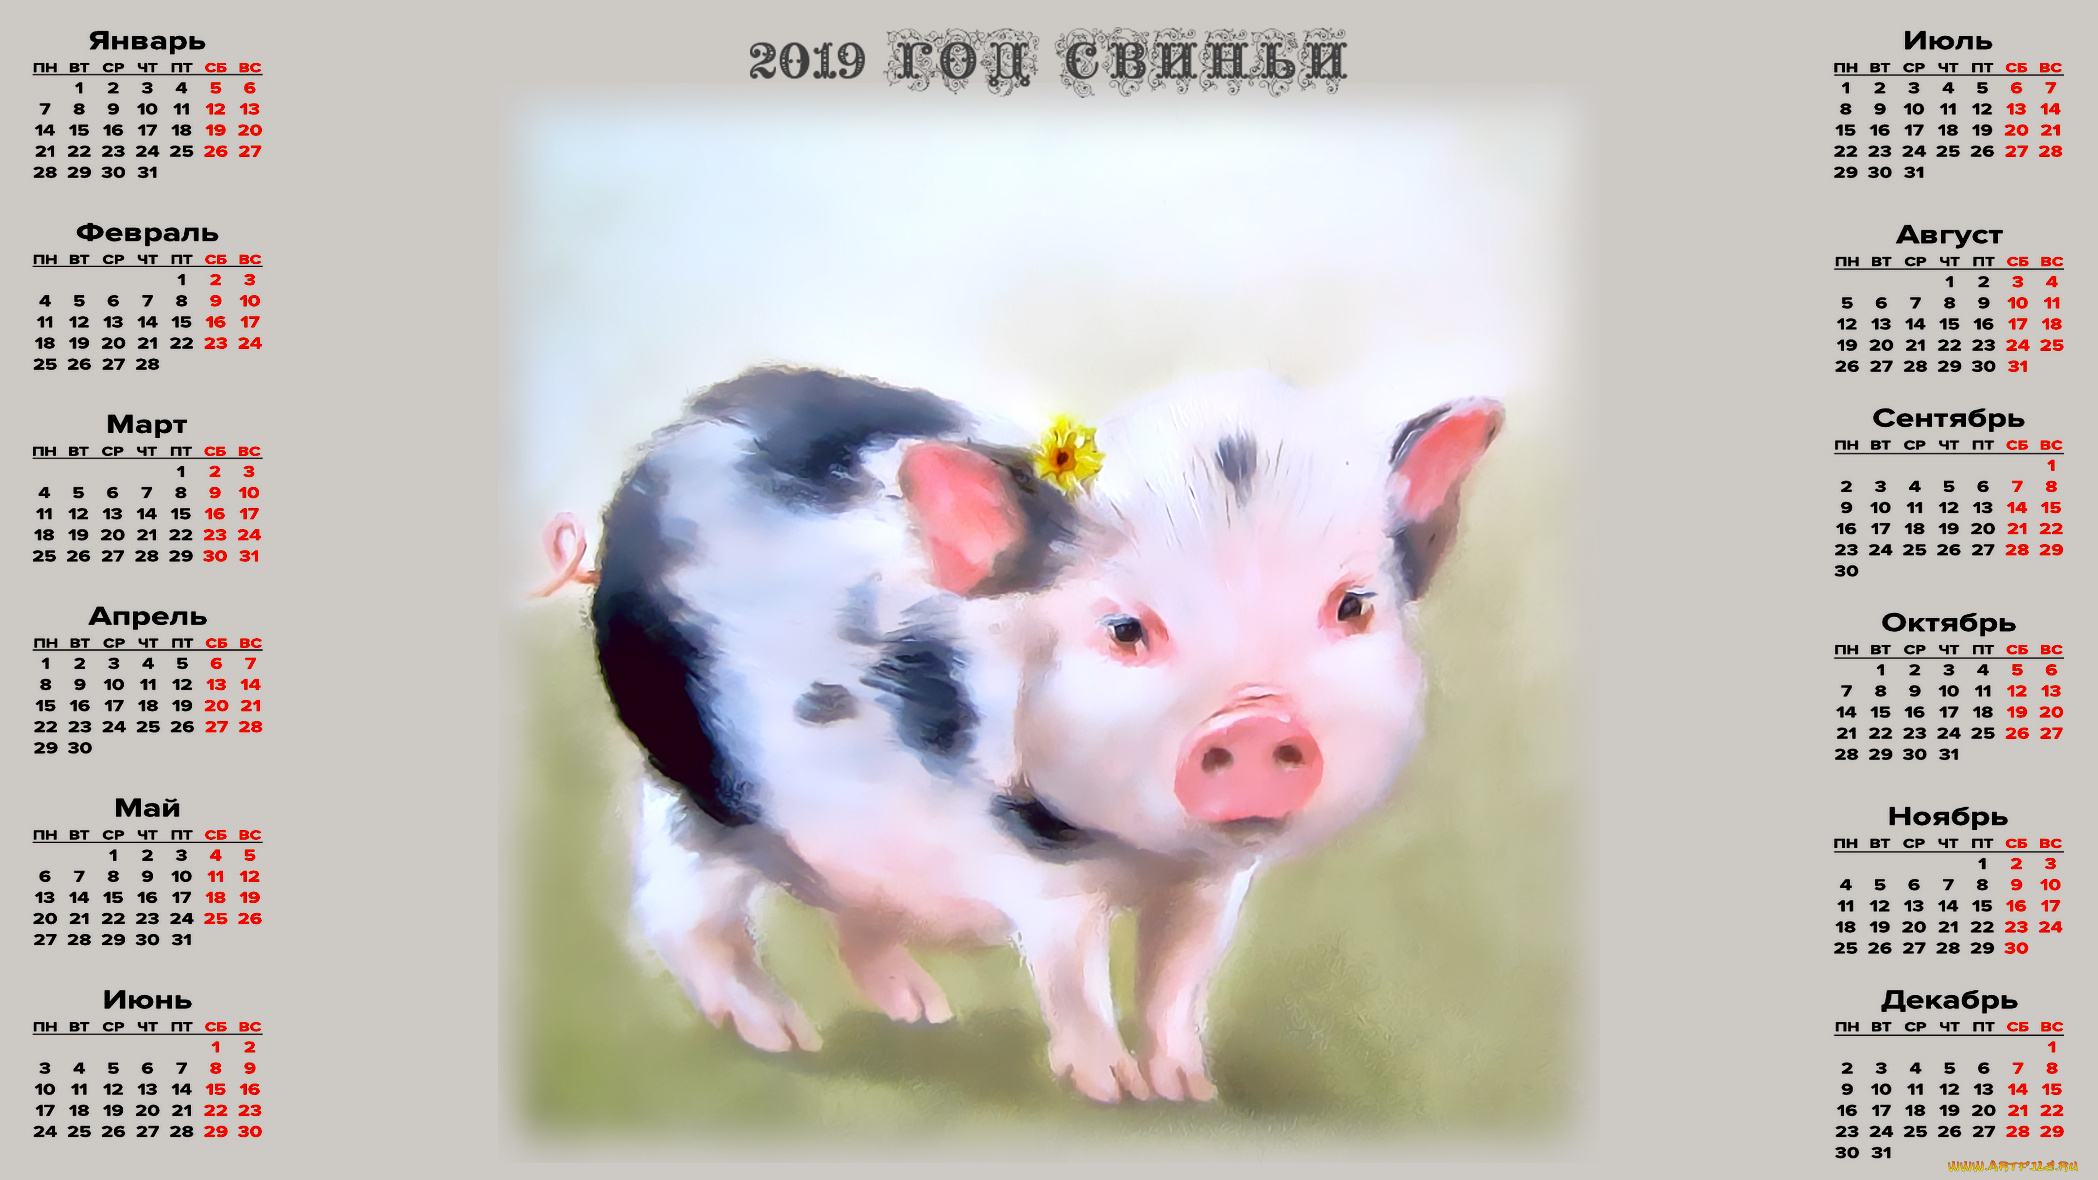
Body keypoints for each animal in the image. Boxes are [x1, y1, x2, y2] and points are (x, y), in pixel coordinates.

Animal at [589, 365, 1502, 1103]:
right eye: (1126, 628)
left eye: (1352, 606)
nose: (1254, 719)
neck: (1144, 853)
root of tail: (678, 436)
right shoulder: (1042, 878)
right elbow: (1074, 978)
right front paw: (1112, 1091)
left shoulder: (1214, 883)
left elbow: (1178, 976)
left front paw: (1189, 1090)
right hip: (695, 787)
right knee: (679, 915)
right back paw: (785, 1035)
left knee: (851, 914)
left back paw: (923, 1013)